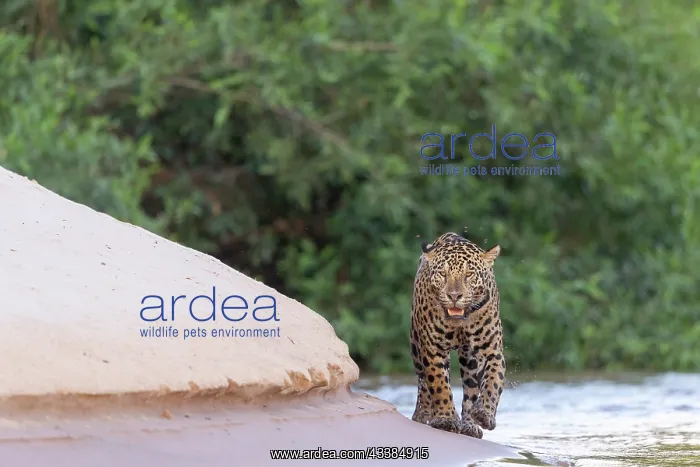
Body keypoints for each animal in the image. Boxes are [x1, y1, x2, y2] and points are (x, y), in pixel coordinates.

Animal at [409, 232, 506, 439]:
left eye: (468, 275)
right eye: (442, 274)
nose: (454, 296)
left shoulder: (492, 350)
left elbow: (493, 382)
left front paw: (484, 414)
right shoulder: (432, 348)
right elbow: (439, 384)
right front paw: (445, 419)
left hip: (470, 360)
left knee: (470, 390)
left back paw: (469, 424)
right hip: (415, 346)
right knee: (422, 382)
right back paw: (423, 413)